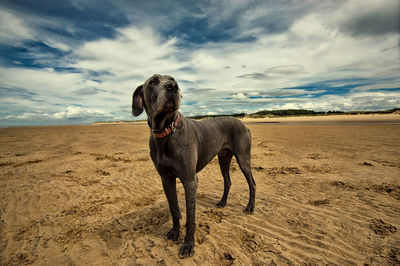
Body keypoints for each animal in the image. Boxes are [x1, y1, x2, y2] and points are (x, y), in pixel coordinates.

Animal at [131, 74, 256, 258]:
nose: (172, 86)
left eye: (173, 79)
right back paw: (222, 202)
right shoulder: (166, 179)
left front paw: (188, 245)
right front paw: (175, 232)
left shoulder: (190, 180)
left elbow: (191, 217)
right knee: (228, 181)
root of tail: (243, 123)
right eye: (153, 81)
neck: (166, 131)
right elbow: (174, 209)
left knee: (252, 183)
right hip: (223, 158)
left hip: (243, 158)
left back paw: (250, 207)